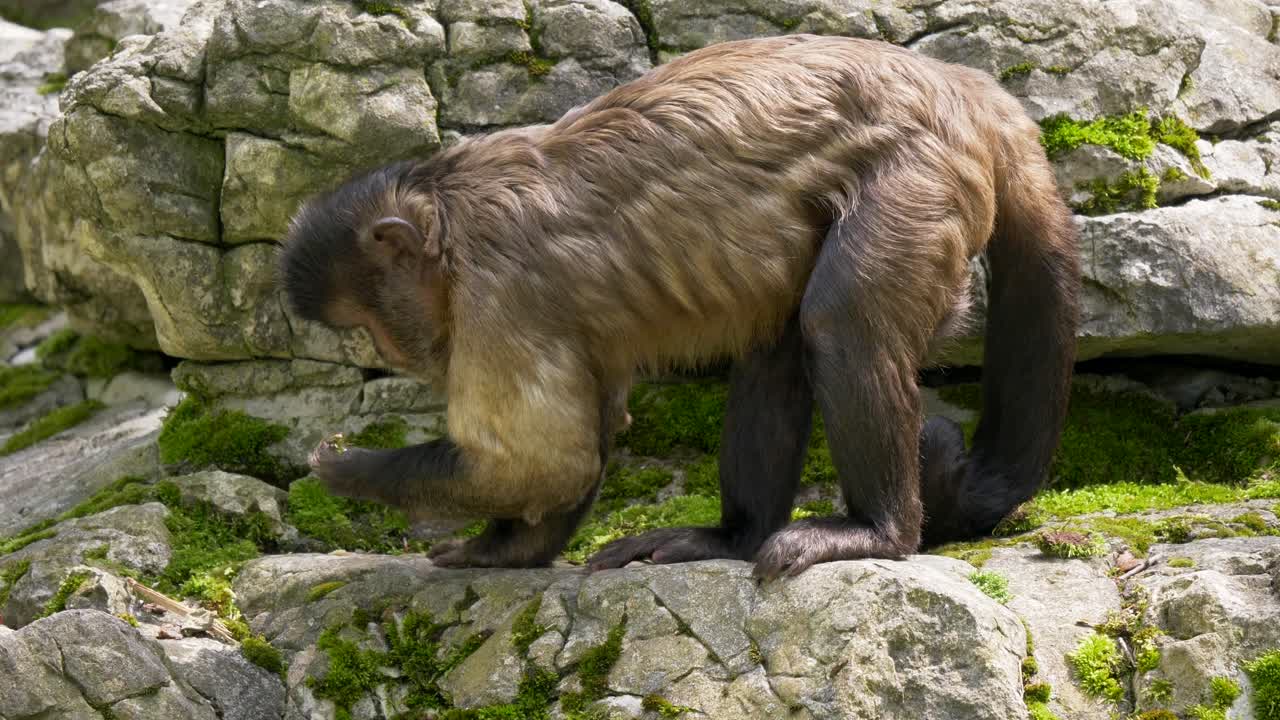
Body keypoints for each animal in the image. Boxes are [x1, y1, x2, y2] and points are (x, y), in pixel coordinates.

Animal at [277, 34, 1080, 579]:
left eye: (371, 322)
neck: (448, 213)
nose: (386, 350)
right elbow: (575, 448)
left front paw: (346, 470)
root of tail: (962, 86)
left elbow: (546, 460)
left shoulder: (495, 291)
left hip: (919, 173)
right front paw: (505, 551)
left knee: (840, 321)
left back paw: (878, 531)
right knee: (779, 340)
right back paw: (735, 536)